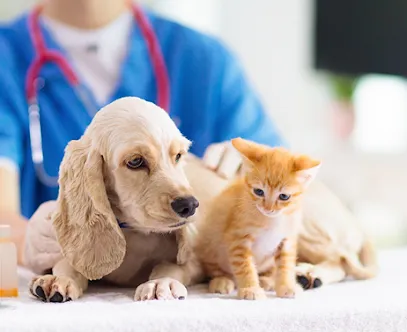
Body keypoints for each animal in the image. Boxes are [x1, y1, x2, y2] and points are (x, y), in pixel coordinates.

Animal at [195, 137, 322, 300]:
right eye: (259, 191)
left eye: (284, 196)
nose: (268, 208)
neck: (273, 221)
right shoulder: (238, 239)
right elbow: (245, 266)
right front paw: (251, 289)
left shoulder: (287, 240)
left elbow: (285, 264)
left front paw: (286, 286)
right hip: (210, 242)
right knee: (214, 267)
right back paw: (221, 281)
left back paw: (267, 280)